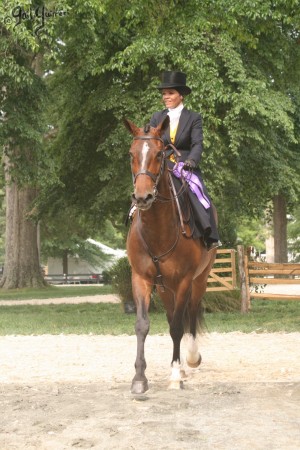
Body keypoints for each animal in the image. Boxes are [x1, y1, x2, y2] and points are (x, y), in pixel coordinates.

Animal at [125, 115, 218, 394]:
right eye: (131, 154)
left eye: (159, 154)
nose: (142, 196)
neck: (158, 229)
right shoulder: (141, 279)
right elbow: (142, 325)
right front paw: (139, 379)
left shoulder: (185, 280)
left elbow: (178, 327)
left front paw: (176, 374)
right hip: (165, 287)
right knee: (171, 315)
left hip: (199, 280)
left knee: (191, 313)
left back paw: (191, 359)